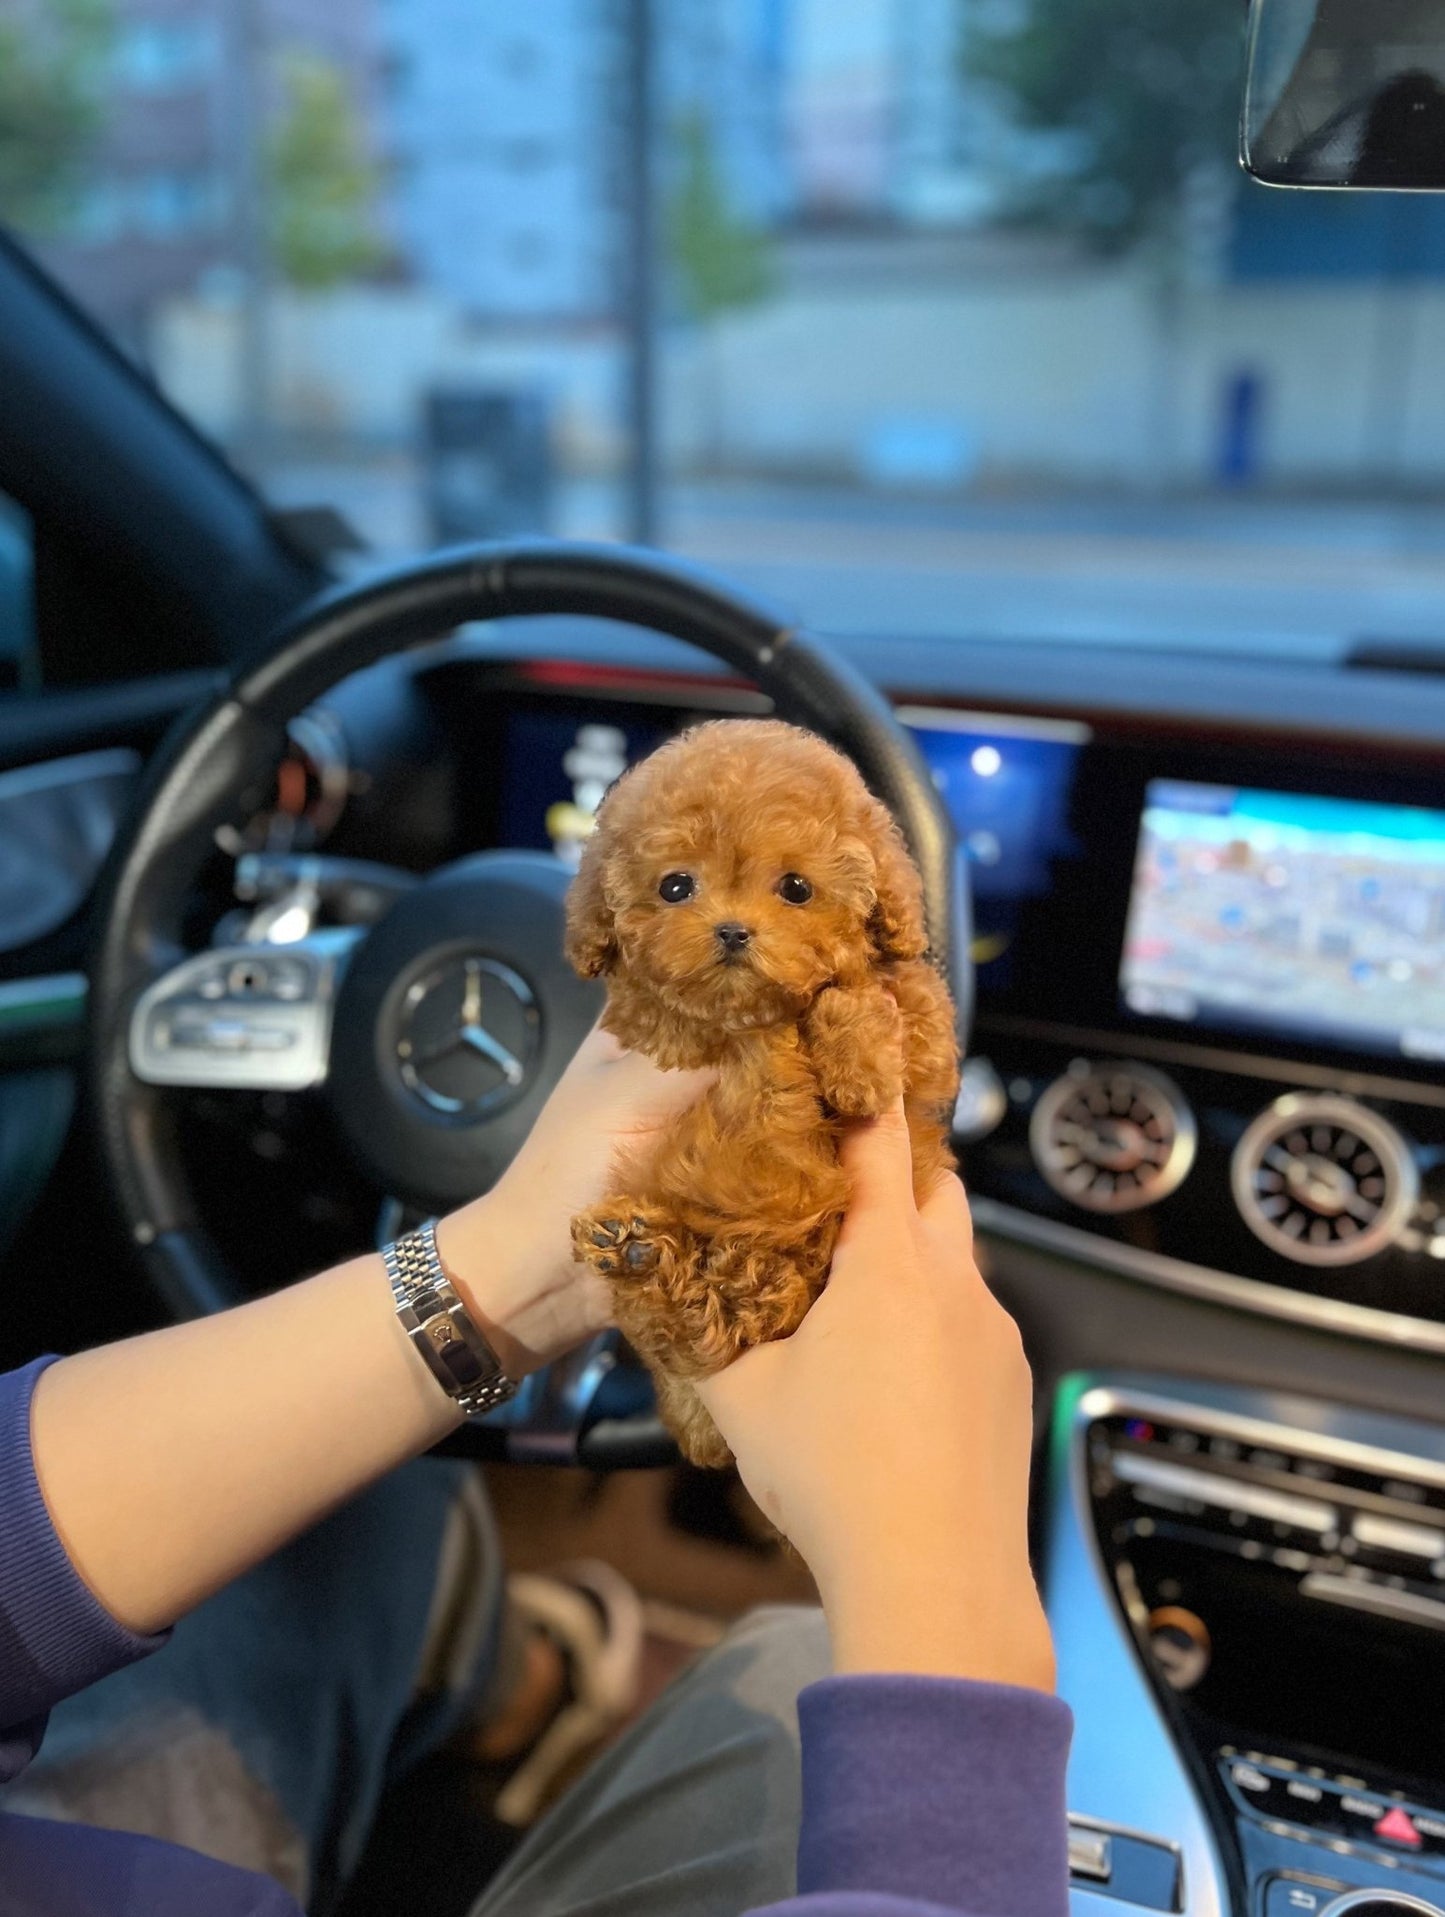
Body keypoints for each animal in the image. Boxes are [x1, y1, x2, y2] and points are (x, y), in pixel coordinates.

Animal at [563, 720, 958, 1464]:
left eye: (796, 887)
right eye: (676, 885)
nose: (731, 930)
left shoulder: (928, 1043)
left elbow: (884, 1002)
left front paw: (858, 1064)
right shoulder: (646, 1032)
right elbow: (674, 1020)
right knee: (695, 1329)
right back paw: (639, 1252)